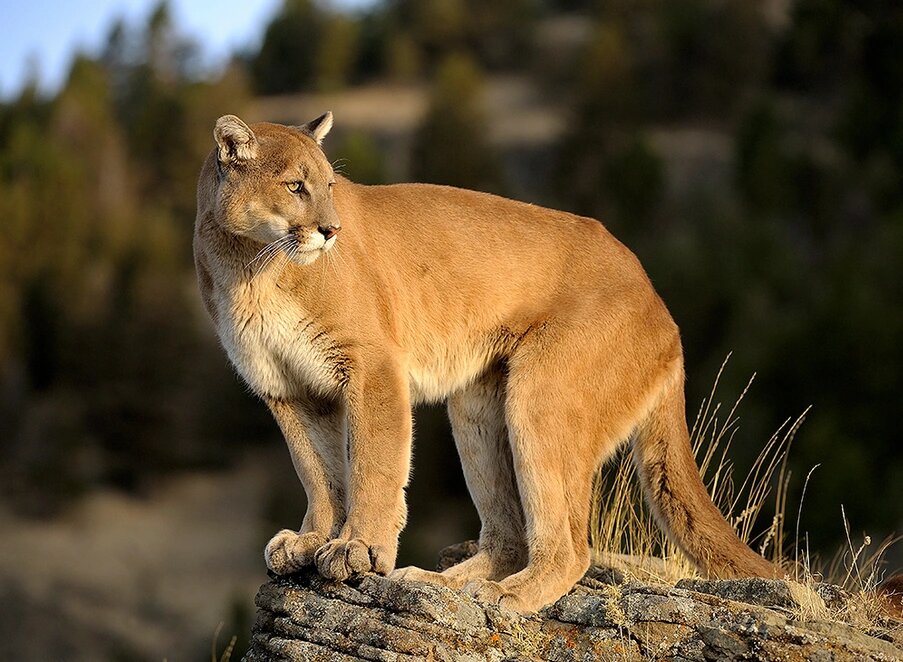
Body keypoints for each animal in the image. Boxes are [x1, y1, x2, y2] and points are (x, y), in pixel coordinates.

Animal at [193, 112, 776, 613]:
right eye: (296, 186)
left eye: (330, 186)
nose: (332, 230)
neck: (251, 267)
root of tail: (660, 304)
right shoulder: (288, 389)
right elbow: (318, 472)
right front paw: (311, 538)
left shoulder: (371, 367)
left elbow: (374, 465)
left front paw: (358, 548)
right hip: (476, 406)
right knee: (510, 536)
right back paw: (435, 584)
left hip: (541, 395)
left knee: (571, 546)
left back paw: (506, 596)